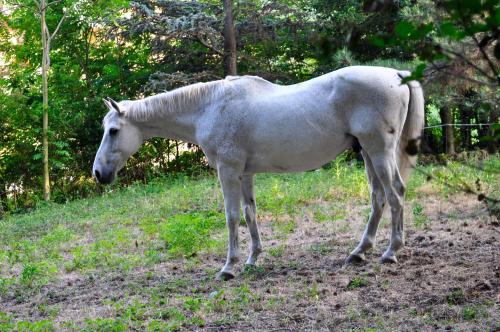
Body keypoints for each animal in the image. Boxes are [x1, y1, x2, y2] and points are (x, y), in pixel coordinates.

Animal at [93, 66, 422, 278]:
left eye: (113, 131)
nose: (98, 173)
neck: (210, 107)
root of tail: (397, 74)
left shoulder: (227, 171)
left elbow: (231, 216)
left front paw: (229, 267)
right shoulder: (245, 174)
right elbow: (250, 213)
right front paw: (252, 259)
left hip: (379, 152)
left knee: (395, 195)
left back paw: (390, 252)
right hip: (367, 153)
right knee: (379, 198)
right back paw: (359, 252)